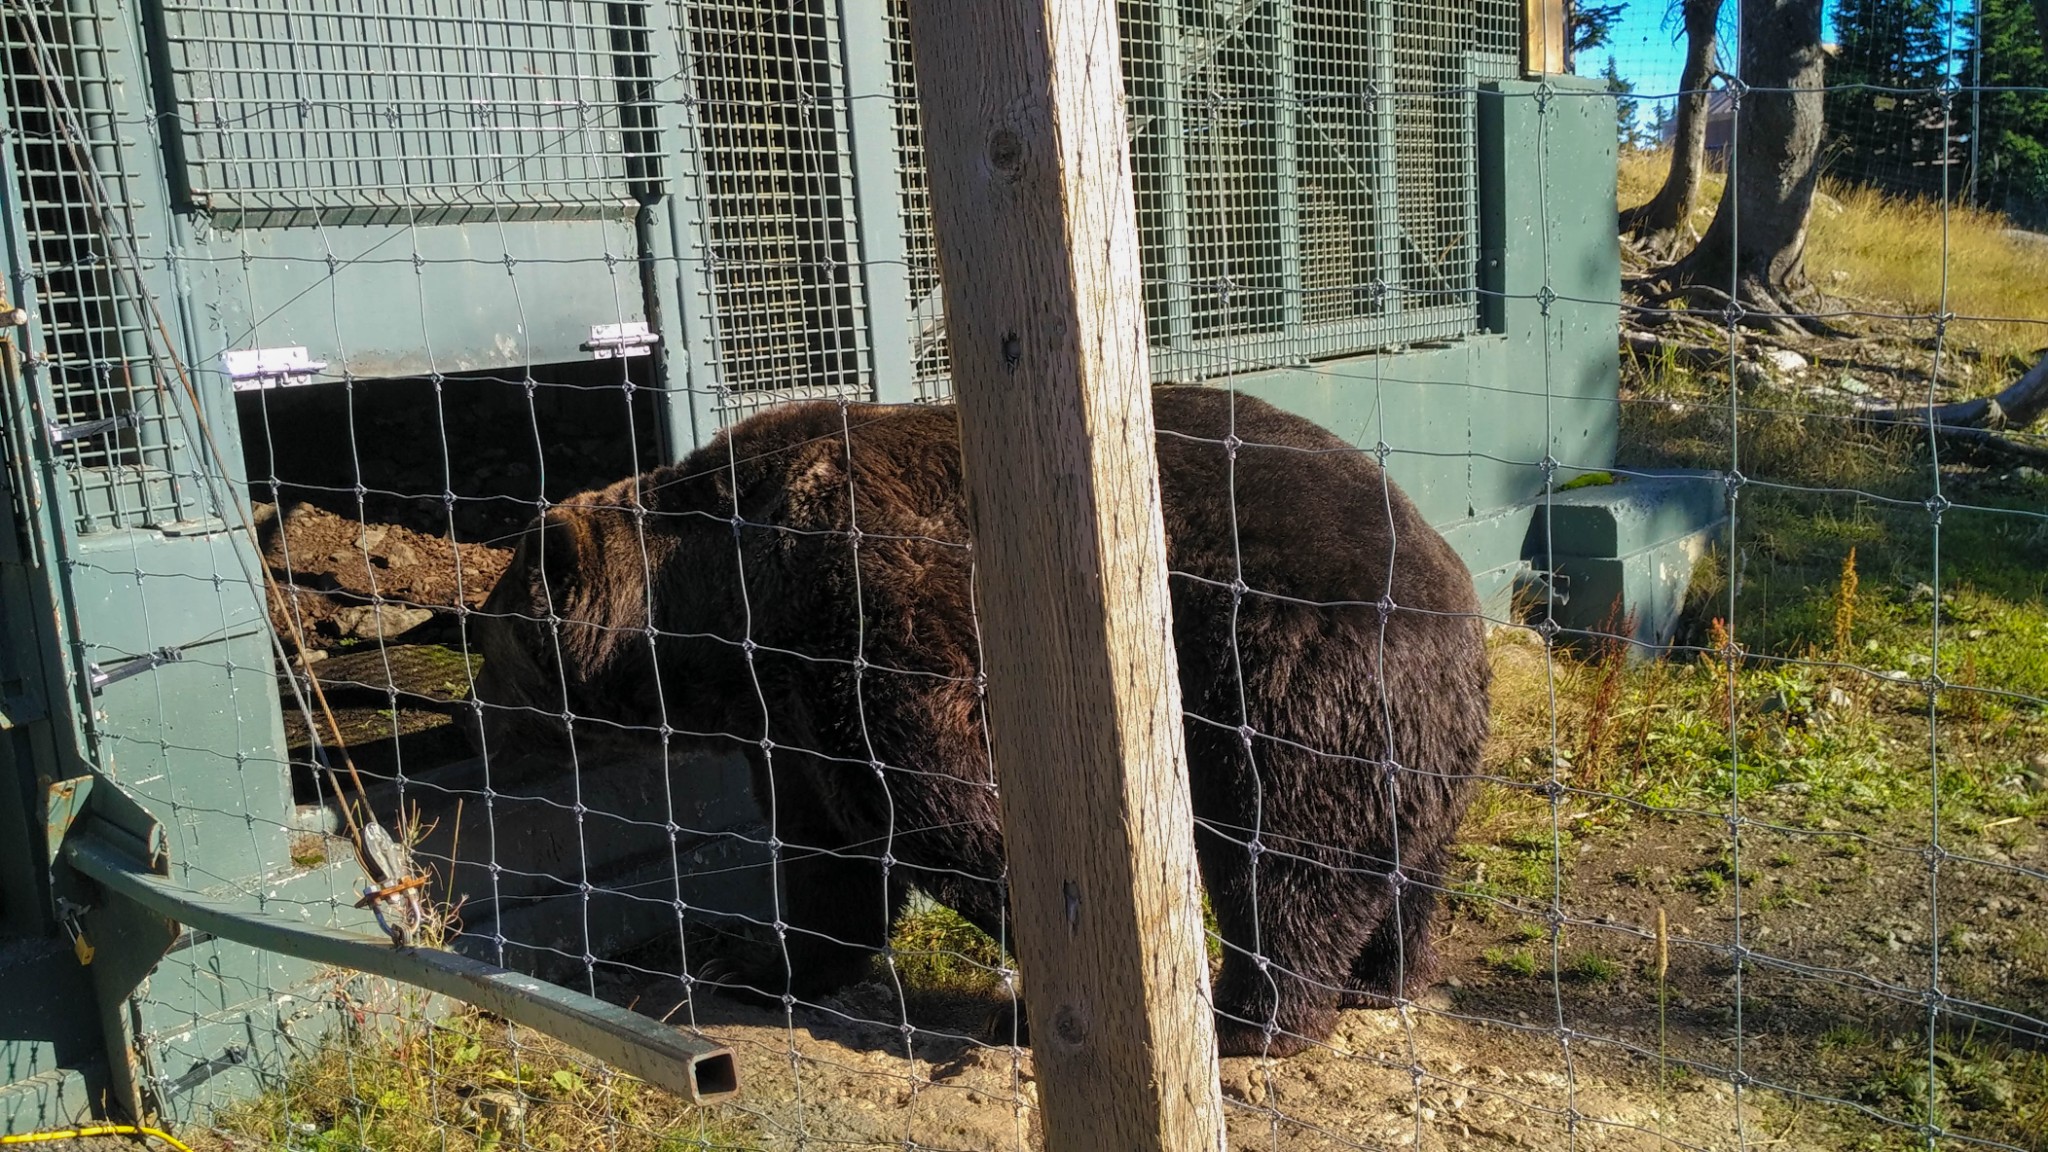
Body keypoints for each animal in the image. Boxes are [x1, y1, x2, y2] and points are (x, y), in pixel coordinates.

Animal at [468, 381, 1490, 1057]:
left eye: (494, 640)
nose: (480, 706)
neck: (720, 603)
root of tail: (1458, 610)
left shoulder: (863, 592)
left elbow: (947, 808)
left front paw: (1034, 1005)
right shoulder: (789, 709)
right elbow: (827, 848)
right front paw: (759, 964)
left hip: (1289, 678)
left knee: (1286, 858)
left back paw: (1253, 1015)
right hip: (1406, 741)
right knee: (1398, 864)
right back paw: (1383, 977)